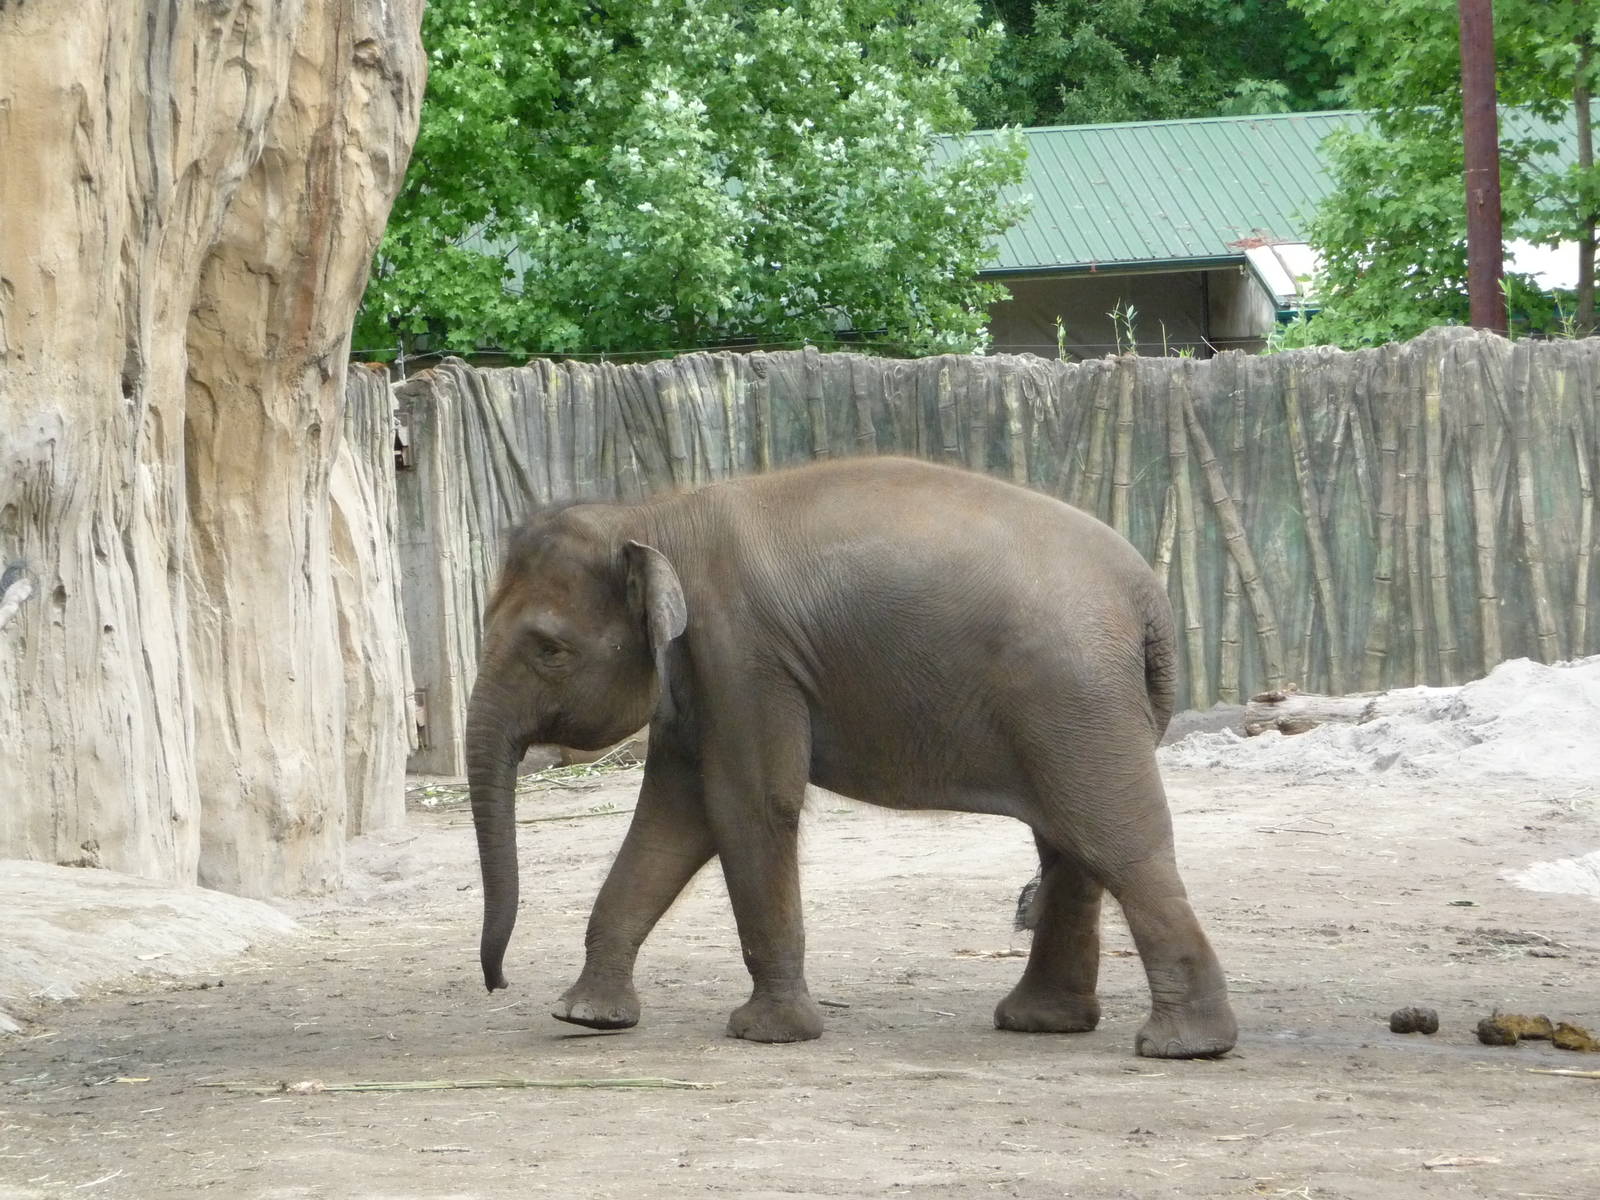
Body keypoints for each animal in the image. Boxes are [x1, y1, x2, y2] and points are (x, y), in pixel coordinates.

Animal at [467, 455, 1237, 1058]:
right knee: (1069, 841)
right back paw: (1043, 1023)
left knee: (1113, 840)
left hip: (1074, 696)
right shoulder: (699, 675)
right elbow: (671, 820)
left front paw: (768, 1034)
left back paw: (1184, 1046)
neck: (653, 516)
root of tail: (1149, 598)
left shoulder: (743, 654)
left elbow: (748, 805)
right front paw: (586, 1017)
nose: (498, 983)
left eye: (549, 649)